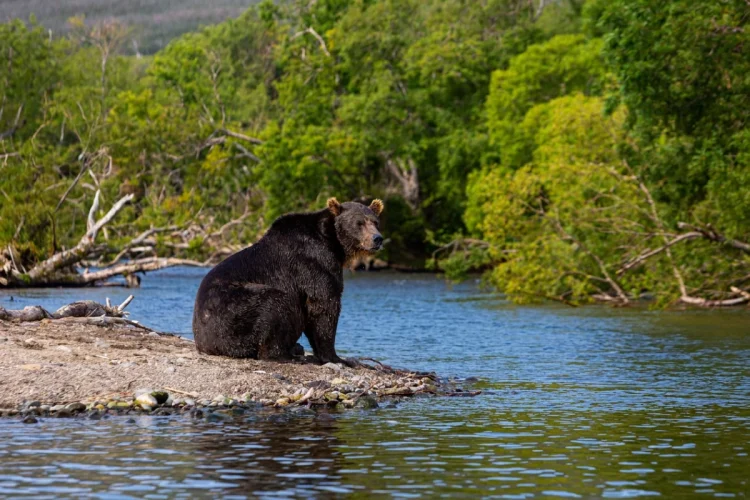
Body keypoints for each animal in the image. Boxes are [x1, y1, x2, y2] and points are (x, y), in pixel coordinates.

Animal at [192, 197, 384, 365]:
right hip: (234, 311)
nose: (378, 238)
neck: (334, 244)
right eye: (359, 223)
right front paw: (336, 357)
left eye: (375, 222)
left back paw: (295, 348)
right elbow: (324, 304)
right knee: (274, 304)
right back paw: (287, 355)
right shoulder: (314, 263)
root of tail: (203, 343)